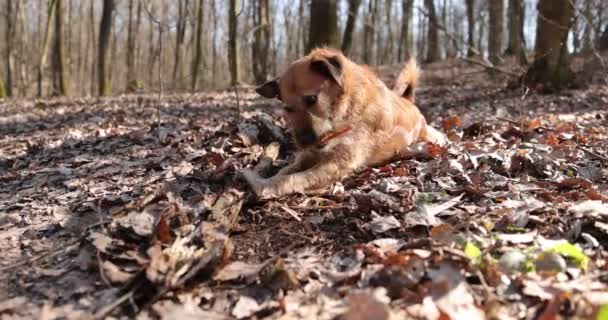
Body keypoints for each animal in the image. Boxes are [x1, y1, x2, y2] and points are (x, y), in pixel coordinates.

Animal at [242, 47, 446, 199]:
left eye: (312, 99)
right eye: (287, 108)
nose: (304, 142)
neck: (348, 112)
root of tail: (409, 102)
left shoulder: (336, 163)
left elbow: (289, 179)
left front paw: (262, 185)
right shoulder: (310, 155)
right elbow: (287, 169)